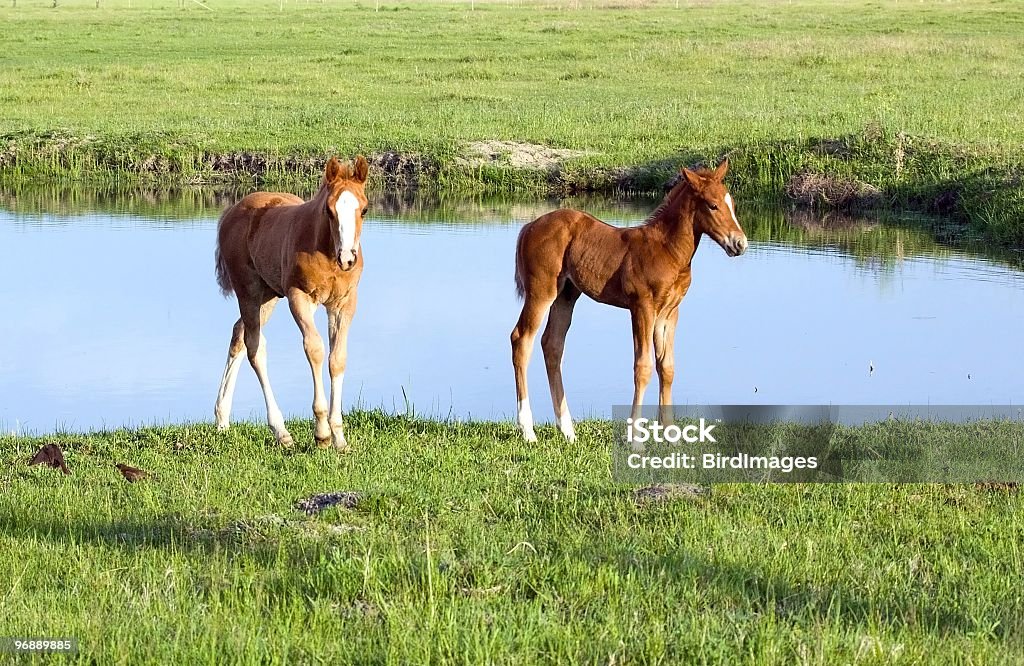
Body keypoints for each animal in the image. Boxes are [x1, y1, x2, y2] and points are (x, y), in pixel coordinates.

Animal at [211, 152, 368, 448]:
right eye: (329, 210)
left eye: (364, 209)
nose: (347, 258)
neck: (326, 251)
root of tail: (231, 211)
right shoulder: (299, 297)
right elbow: (315, 349)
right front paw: (322, 433)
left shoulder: (344, 303)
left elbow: (337, 358)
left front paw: (339, 437)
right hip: (249, 291)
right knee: (255, 346)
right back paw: (281, 431)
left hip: (268, 295)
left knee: (239, 335)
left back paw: (222, 419)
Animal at [509, 158, 745, 440]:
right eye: (712, 205)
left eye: (732, 203)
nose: (740, 243)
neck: (668, 250)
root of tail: (528, 227)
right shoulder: (642, 307)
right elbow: (642, 367)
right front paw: (636, 438)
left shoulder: (670, 312)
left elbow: (667, 367)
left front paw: (670, 435)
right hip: (541, 291)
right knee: (521, 340)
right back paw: (528, 430)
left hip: (566, 295)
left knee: (552, 345)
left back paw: (568, 431)